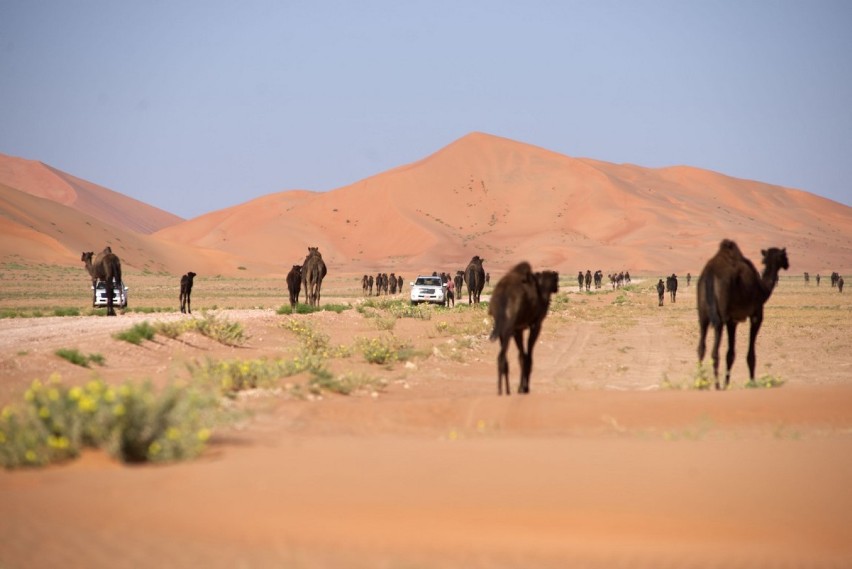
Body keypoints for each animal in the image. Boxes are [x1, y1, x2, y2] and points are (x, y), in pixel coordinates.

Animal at [486, 262, 560, 394]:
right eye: (556, 279)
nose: (557, 288)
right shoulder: (536, 325)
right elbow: (528, 357)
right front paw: (524, 388)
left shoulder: (518, 329)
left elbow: (521, 357)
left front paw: (520, 388)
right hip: (508, 326)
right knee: (501, 357)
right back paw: (502, 392)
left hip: (502, 327)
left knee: (504, 359)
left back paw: (505, 391)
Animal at [696, 237, 788, 388]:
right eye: (784, 256)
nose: (787, 264)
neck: (763, 288)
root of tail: (709, 274)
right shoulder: (755, 315)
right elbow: (749, 355)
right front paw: (751, 382)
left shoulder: (733, 320)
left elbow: (730, 354)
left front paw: (727, 383)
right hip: (721, 315)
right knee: (715, 351)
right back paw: (716, 386)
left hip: (703, 313)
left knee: (701, 347)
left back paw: (700, 382)